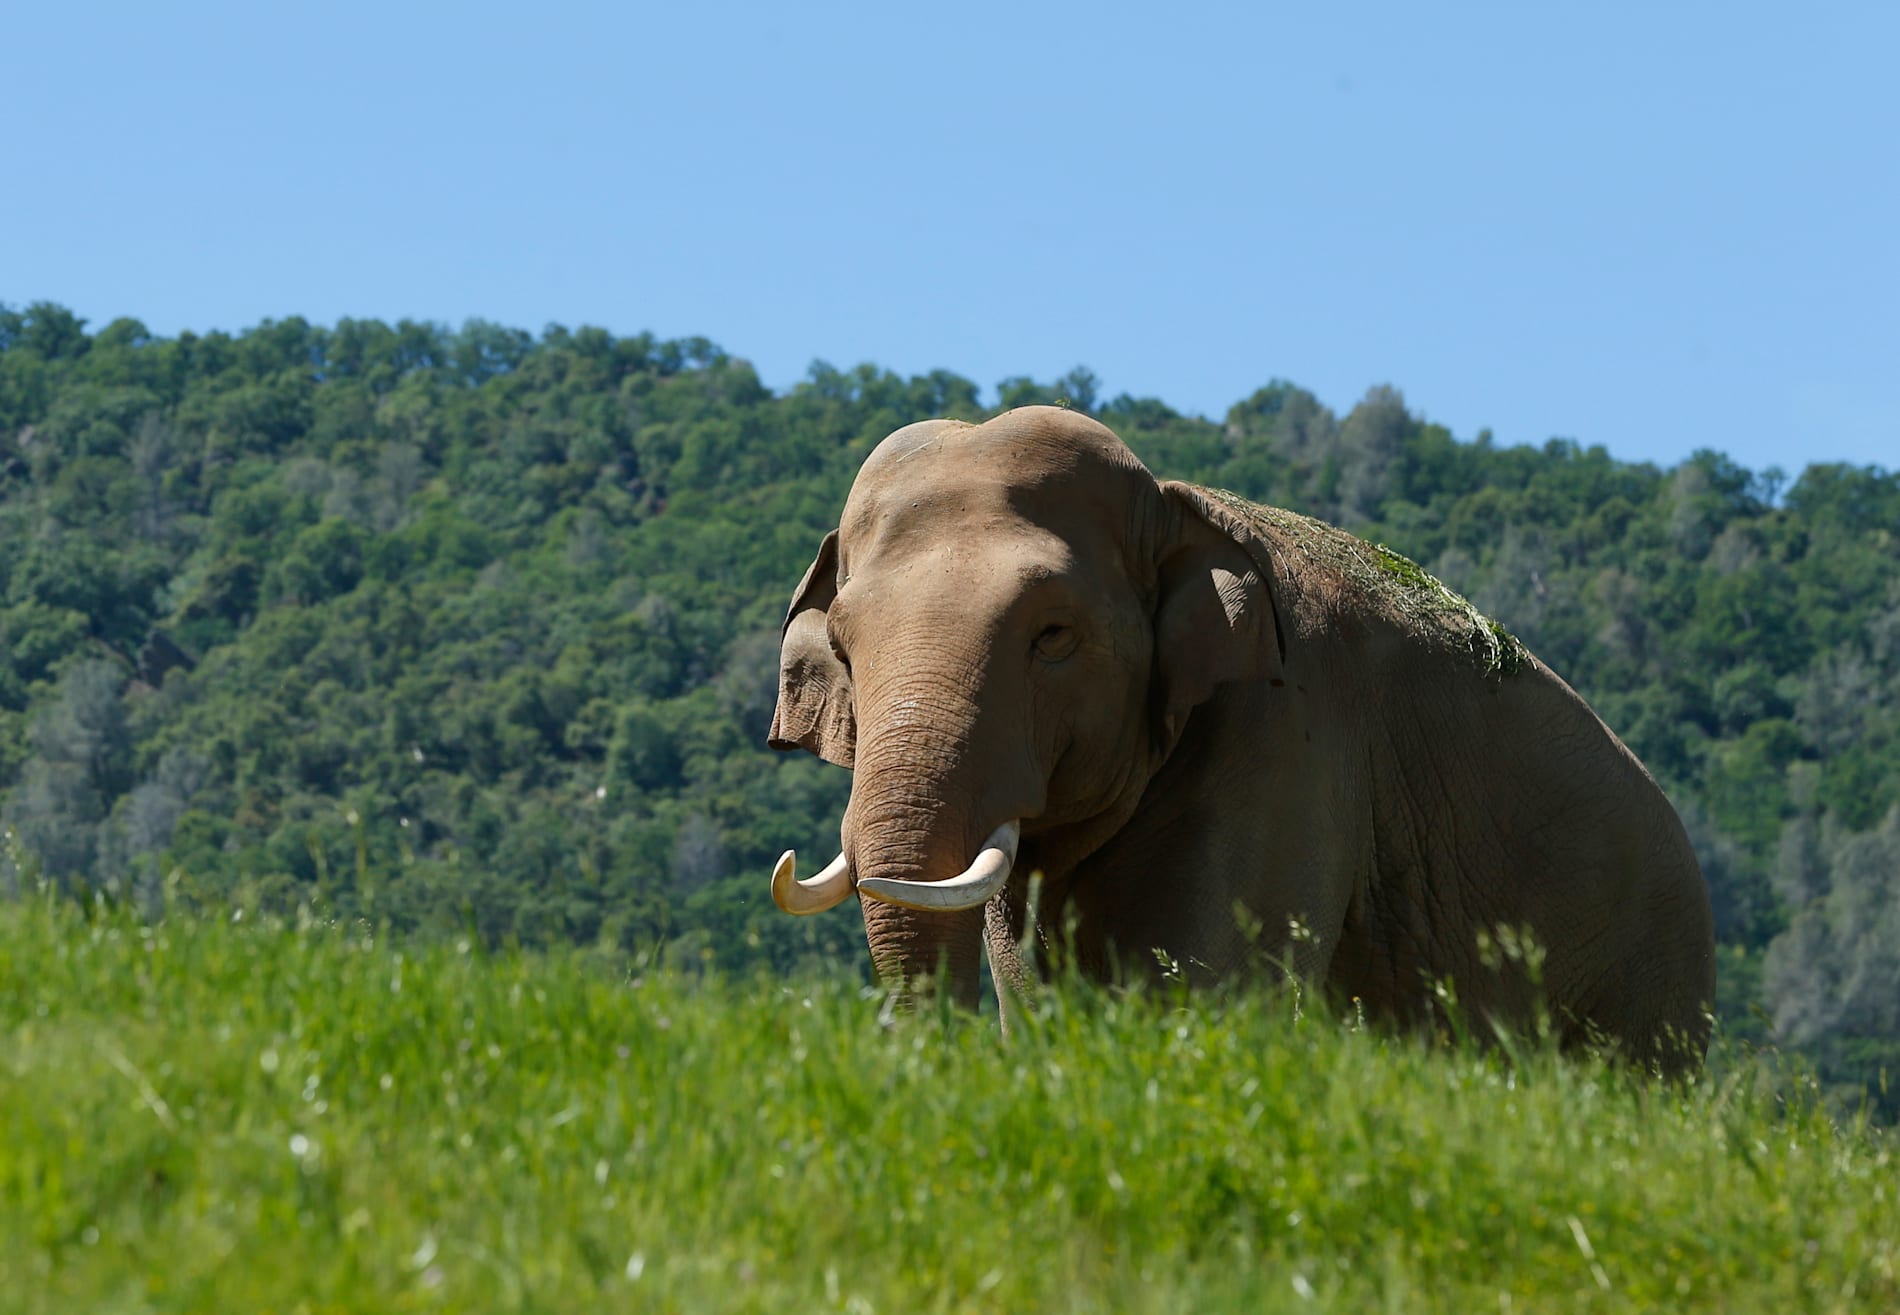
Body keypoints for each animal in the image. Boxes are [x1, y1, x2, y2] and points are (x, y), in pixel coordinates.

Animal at [765, 405, 1716, 1072]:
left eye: (1054, 636)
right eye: (843, 645)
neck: (1177, 506)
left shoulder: (1286, 746)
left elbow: (1204, 981)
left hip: (1650, 981)